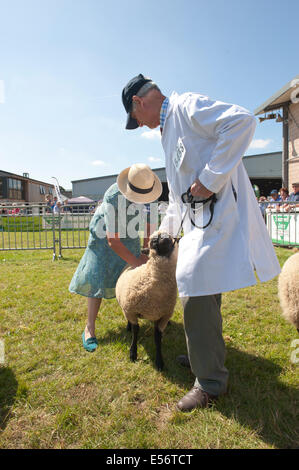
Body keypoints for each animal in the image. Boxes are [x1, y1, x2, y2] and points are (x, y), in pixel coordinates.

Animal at [115, 229, 178, 370]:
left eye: (171, 237)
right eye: (153, 241)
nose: (165, 238)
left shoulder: (163, 317)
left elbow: (157, 338)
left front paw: (159, 362)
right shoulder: (132, 311)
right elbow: (135, 332)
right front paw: (133, 354)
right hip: (125, 307)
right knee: (128, 320)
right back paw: (127, 327)